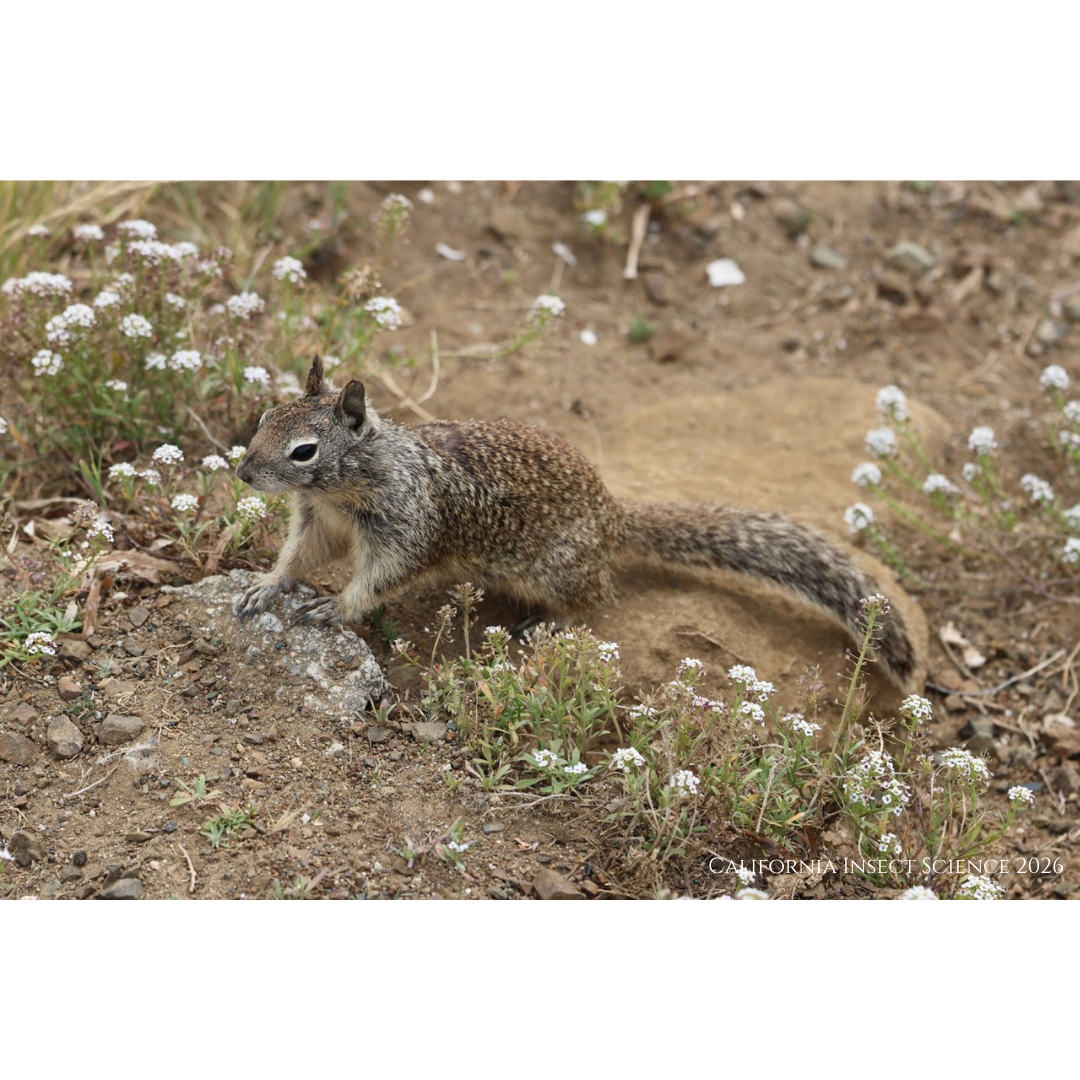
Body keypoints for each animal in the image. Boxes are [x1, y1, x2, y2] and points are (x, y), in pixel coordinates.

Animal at [235, 357, 918, 690]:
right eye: (264, 415)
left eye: (304, 452)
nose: (241, 473)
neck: (349, 482)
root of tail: (615, 517)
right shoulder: (318, 520)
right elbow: (299, 557)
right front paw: (266, 585)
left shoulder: (406, 530)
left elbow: (377, 580)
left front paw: (335, 607)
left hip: (557, 572)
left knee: (594, 598)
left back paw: (543, 624)